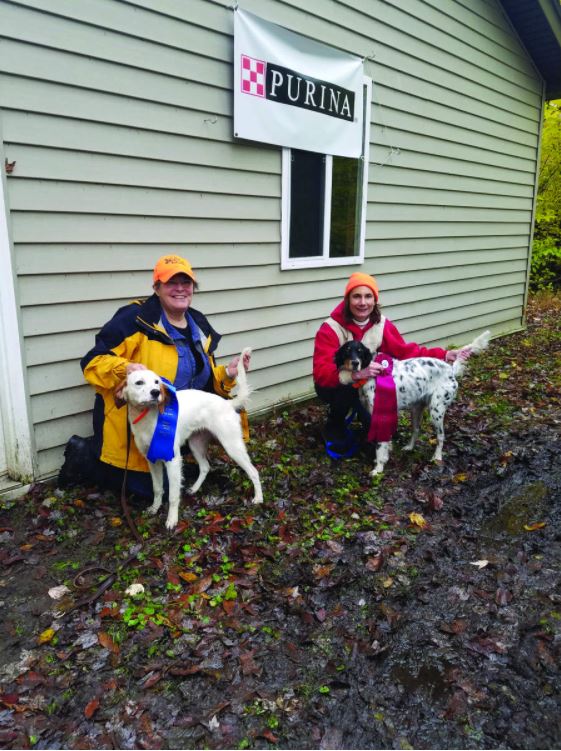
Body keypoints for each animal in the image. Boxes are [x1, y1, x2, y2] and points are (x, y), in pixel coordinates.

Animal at [118, 348, 262, 528]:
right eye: (139, 382)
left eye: (157, 382)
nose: (156, 393)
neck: (149, 416)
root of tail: (227, 403)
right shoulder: (152, 460)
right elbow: (157, 489)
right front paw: (154, 508)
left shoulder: (172, 460)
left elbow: (173, 496)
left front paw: (172, 520)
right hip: (196, 445)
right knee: (206, 467)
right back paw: (194, 488)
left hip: (232, 446)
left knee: (254, 471)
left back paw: (258, 498)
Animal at [334, 334, 488, 476]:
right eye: (347, 351)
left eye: (359, 351)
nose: (355, 362)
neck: (373, 373)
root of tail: (450, 370)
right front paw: (383, 458)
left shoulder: (380, 414)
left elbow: (380, 445)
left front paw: (378, 468)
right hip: (416, 410)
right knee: (416, 430)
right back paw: (409, 447)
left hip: (436, 412)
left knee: (441, 436)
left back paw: (437, 457)